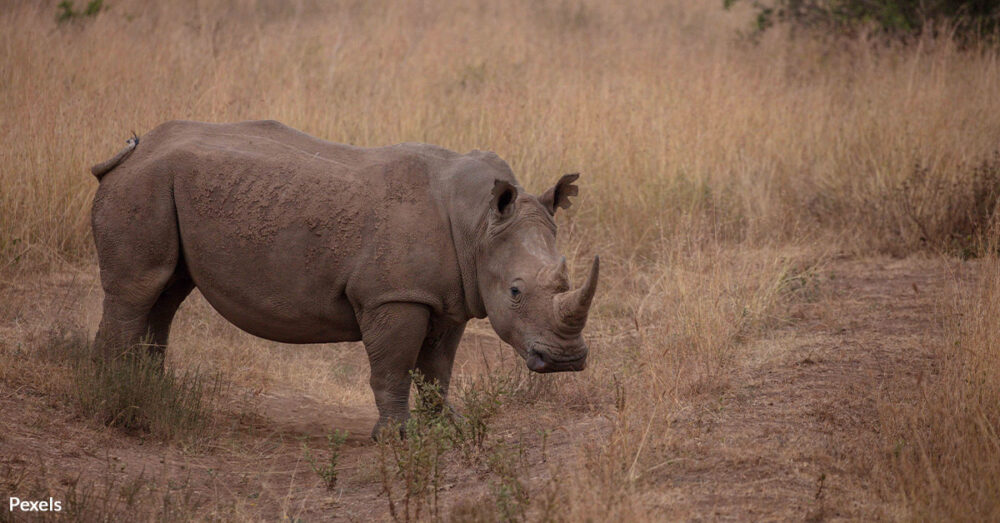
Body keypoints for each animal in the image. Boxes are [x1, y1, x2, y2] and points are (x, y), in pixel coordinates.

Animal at [89, 120, 599, 437]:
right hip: (145, 184)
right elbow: (393, 367)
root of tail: (133, 150)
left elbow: (437, 370)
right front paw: (397, 438)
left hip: (163, 185)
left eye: (564, 278)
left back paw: (153, 392)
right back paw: (114, 396)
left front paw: (447, 426)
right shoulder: (394, 296)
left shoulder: (448, 297)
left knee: (167, 292)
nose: (567, 361)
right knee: (139, 289)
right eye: (515, 292)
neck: (478, 224)